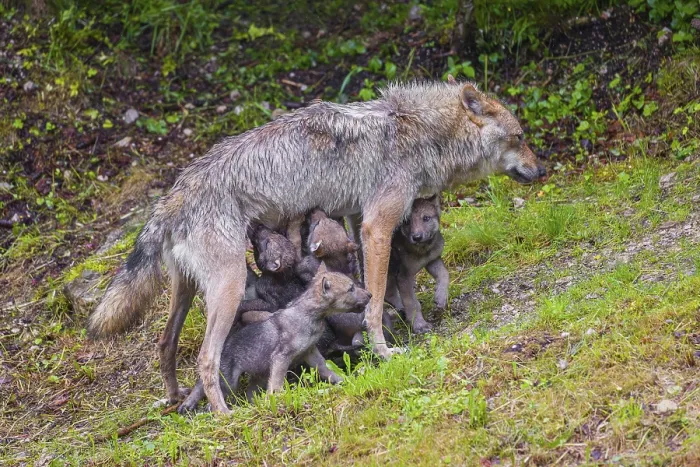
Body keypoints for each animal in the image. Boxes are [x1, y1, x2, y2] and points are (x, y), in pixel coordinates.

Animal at [178, 265, 371, 413]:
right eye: (351, 288)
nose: (370, 295)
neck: (310, 318)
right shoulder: (281, 357)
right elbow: (277, 384)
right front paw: (278, 401)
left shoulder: (310, 352)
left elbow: (326, 370)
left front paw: (343, 380)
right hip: (229, 383)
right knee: (209, 398)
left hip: (257, 378)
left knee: (243, 393)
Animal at [384, 195, 448, 334]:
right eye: (407, 222)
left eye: (426, 218)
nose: (417, 237)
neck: (422, 251)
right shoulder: (404, 276)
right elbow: (412, 303)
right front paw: (420, 325)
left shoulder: (433, 260)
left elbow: (445, 274)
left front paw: (441, 297)